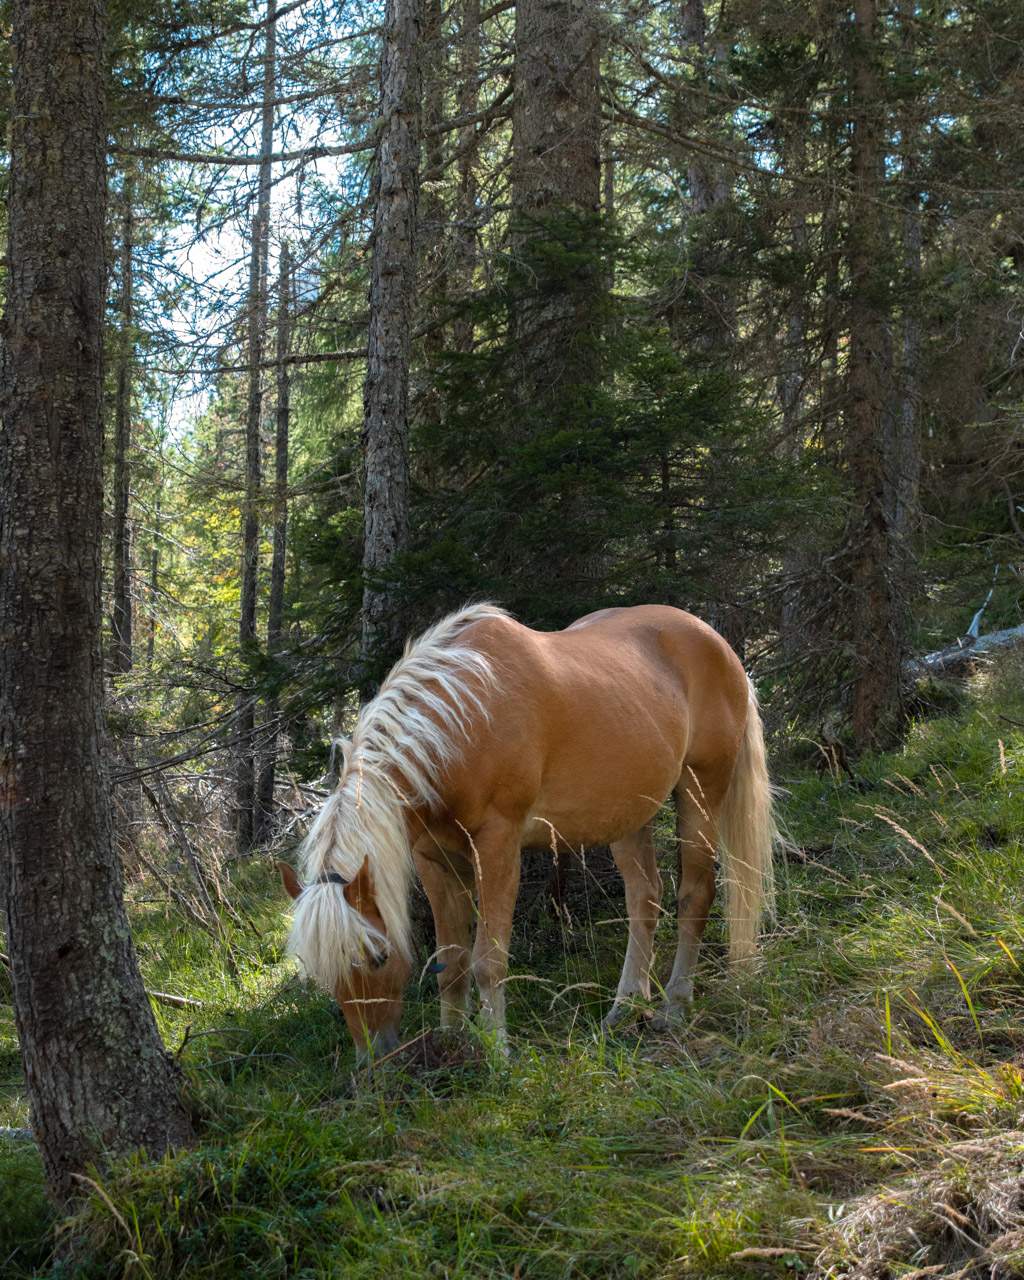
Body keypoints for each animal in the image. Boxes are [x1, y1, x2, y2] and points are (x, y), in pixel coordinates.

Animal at [278, 602, 776, 1057]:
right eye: (322, 971)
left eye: (378, 956)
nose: (374, 1059)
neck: (463, 717)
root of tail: (718, 644)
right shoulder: (434, 859)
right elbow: (452, 961)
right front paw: (452, 1043)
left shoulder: (497, 847)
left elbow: (488, 960)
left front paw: (496, 1052)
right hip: (629, 815)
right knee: (644, 899)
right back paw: (625, 1006)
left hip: (701, 791)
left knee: (695, 895)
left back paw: (674, 1006)